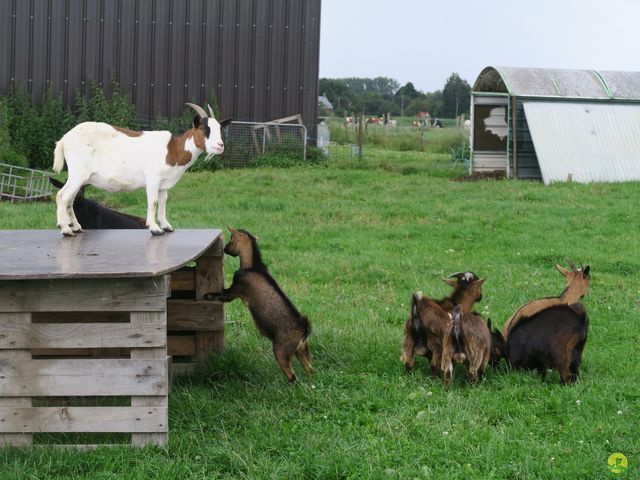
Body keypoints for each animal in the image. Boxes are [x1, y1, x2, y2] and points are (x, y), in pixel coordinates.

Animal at [52, 104, 231, 235]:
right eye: (204, 129)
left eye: (219, 129)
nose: (220, 146)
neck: (172, 150)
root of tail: (64, 140)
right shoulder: (153, 179)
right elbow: (153, 201)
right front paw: (154, 228)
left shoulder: (163, 184)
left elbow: (163, 201)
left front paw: (166, 226)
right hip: (78, 173)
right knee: (62, 196)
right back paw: (65, 229)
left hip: (79, 177)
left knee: (70, 199)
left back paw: (76, 227)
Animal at [211, 228, 314, 382]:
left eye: (231, 239)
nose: (225, 249)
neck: (252, 266)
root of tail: (304, 329)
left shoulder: (234, 290)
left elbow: (220, 294)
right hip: (302, 350)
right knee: (310, 369)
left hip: (281, 351)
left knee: (292, 376)